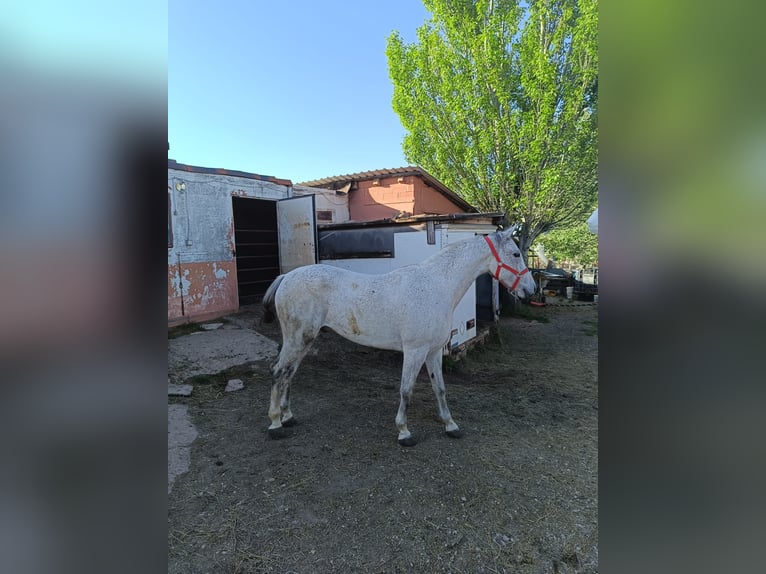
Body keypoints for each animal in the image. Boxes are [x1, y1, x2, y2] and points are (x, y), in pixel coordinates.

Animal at [260, 227, 536, 448]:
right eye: (515, 254)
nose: (531, 289)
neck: (436, 286)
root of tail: (287, 277)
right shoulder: (415, 351)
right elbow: (406, 390)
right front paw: (404, 432)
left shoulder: (434, 351)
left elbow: (440, 388)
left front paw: (450, 425)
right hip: (297, 338)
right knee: (278, 372)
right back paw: (275, 424)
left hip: (304, 340)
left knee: (289, 373)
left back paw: (288, 416)